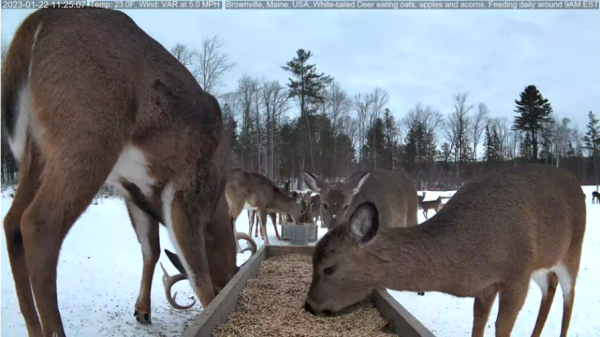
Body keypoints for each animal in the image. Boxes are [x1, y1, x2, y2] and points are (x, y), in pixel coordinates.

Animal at [1, 6, 250, 334]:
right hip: (88, 134)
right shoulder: (186, 190)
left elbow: (151, 249)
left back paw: (33, 327)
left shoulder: (133, 189)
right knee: (39, 224)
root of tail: (39, 19)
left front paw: (142, 310)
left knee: (12, 223)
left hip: (37, 151)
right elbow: (201, 279)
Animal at [304, 164, 584, 336]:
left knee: (569, 295)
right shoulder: (485, 288)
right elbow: (478, 325)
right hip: (542, 263)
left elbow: (501, 328)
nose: (309, 305)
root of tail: (576, 182)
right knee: (550, 285)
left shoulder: (516, 276)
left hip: (573, 249)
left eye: (328, 268)